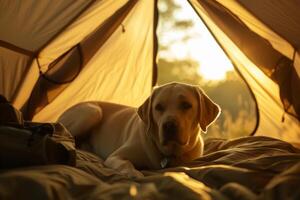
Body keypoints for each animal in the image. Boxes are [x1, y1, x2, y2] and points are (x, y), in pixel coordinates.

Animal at [57, 82, 220, 177]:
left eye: (186, 105)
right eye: (158, 107)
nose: (169, 125)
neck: (168, 153)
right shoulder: (116, 157)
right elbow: (127, 165)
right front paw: (135, 174)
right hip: (92, 111)